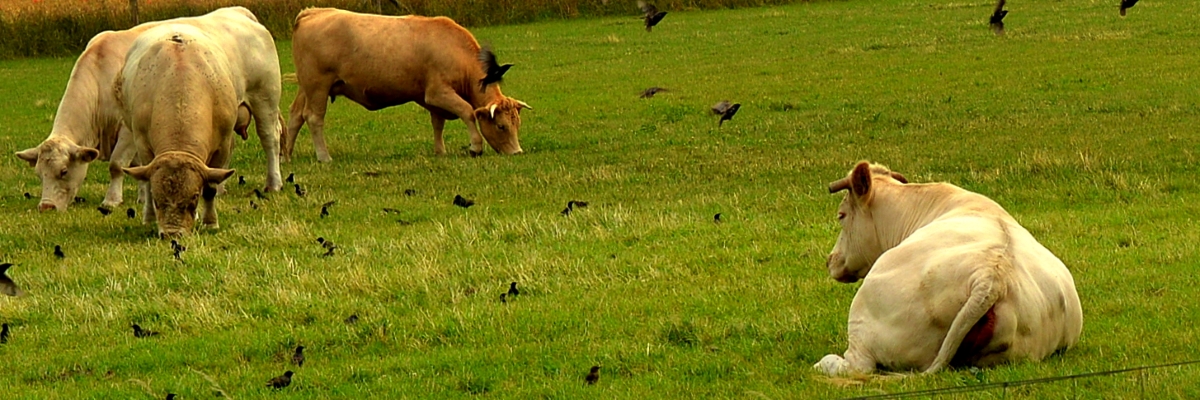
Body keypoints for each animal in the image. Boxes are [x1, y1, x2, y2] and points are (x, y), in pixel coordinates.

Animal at [16, 6, 283, 211]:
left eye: (63, 171)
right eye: (39, 174)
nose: (46, 206)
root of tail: (240, 12)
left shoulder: (127, 129)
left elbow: (116, 165)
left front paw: (111, 200)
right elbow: (137, 166)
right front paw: (143, 196)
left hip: (265, 98)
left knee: (270, 140)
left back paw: (274, 183)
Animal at [117, 24, 243, 236]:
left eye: (194, 197)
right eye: (157, 200)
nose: (172, 234)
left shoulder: (223, 146)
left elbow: (211, 188)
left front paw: (211, 222)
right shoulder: (142, 144)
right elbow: (148, 184)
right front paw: (150, 217)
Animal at [285, 7, 530, 162]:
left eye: (517, 124)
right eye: (501, 126)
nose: (517, 152)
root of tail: (313, 12)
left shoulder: (432, 100)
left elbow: (438, 123)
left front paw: (440, 151)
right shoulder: (438, 93)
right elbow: (467, 112)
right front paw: (475, 147)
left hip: (306, 88)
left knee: (296, 116)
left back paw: (286, 155)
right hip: (318, 86)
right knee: (314, 118)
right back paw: (324, 156)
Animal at [811, 160, 1084, 374]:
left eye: (841, 215)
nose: (830, 259)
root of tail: (990, 276)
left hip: (864, 320)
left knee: (856, 366)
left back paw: (823, 363)